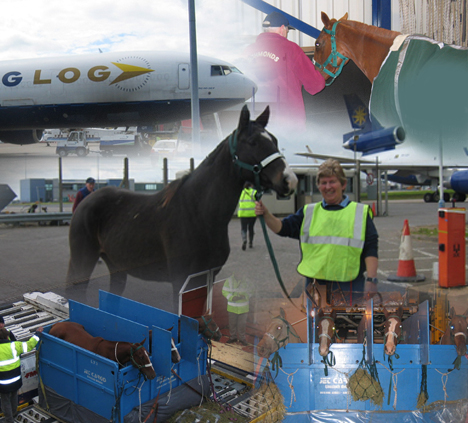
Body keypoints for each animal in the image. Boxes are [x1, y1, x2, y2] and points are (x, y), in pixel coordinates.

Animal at [66, 105, 296, 308]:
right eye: (253, 142)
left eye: (275, 140)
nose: (289, 180)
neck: (199, 213)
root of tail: (86, 201)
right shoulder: (181, 279)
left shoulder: (207, 277)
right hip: (83, 261)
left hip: (117, 266)